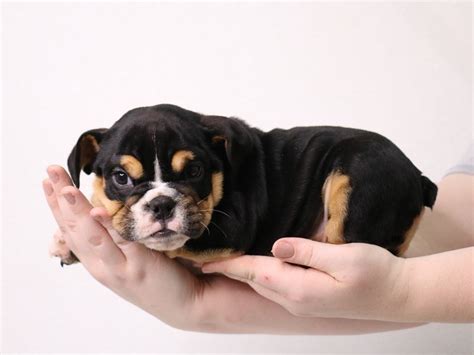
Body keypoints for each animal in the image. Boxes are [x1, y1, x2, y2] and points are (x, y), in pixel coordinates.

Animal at [50, 104, 438, 266]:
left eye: (194, 172)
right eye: (121, 178)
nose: (161, 204)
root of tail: (419, 179)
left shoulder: (228, 230)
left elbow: (168, 245)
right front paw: (69, 242)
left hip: (358, 171)